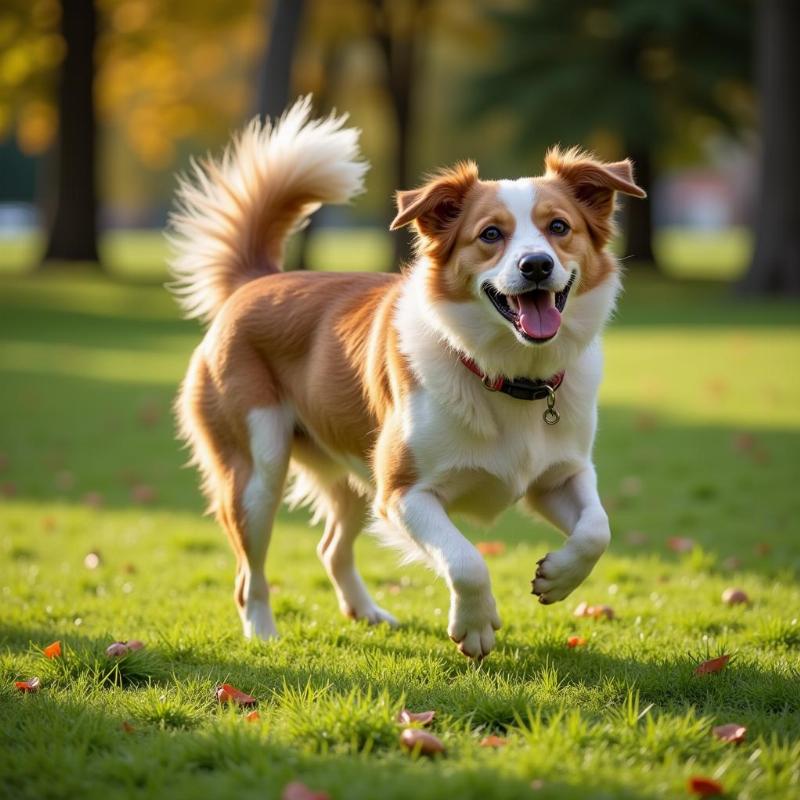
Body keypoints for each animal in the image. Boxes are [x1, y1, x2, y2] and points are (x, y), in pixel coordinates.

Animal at [169, 97, 644, 660]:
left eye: (559, 227)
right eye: (491, 234)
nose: (535, 265)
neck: (505, 374)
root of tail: (259, 280)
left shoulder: (559, 476)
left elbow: (598, 529)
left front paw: (558, 577)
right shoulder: (403, 495)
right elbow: (466, 559)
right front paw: (475, 625)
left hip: (355, 472)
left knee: (330, 547)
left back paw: (368, 613)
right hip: (257, 475)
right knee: (250, 576)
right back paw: (264, 634)